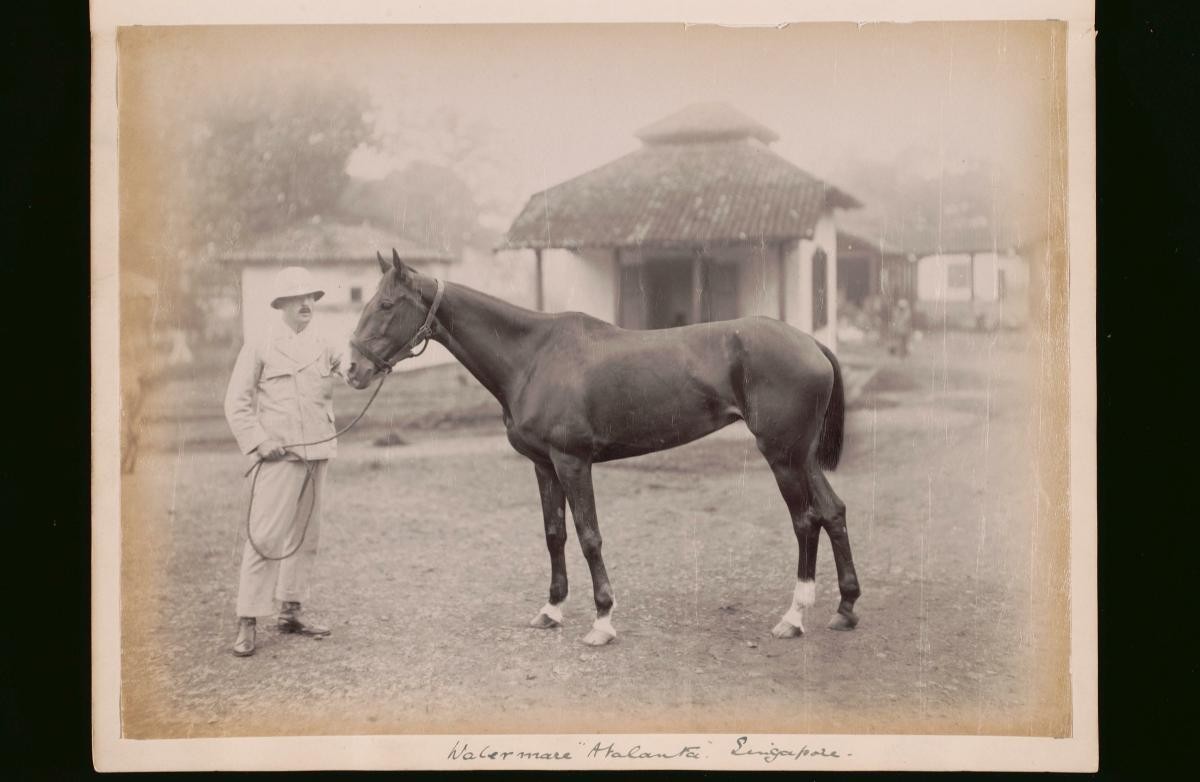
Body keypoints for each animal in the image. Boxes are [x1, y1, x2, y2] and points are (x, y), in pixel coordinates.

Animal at [346, 248, 861, 646]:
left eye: (387, 304)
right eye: (368, 300)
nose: (351, 369)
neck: (533, 356)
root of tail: (811, 344)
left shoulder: (573, 462)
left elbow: (589, 536)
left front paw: (602, 621)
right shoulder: (544, 466)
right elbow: (555, 534)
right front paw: (551, 610)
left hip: (782, 456)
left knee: (805, 521)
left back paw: (793, 617)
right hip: (802, 455)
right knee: (832, 511)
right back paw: (845, 608)